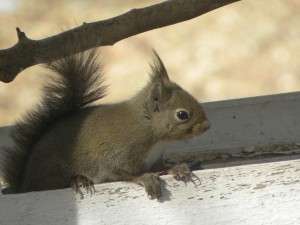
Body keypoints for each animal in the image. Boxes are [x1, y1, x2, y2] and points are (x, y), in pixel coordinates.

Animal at [1, 48, 210, 199]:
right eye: (182, 115)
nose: (207, 126)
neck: (147, 128)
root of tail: (23, 185)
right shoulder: (115, 156)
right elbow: (122, 173)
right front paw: (146, 179)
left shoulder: (151, 160)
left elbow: (160, 167)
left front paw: (179, 168)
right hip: (52, 172)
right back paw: (79, 180)